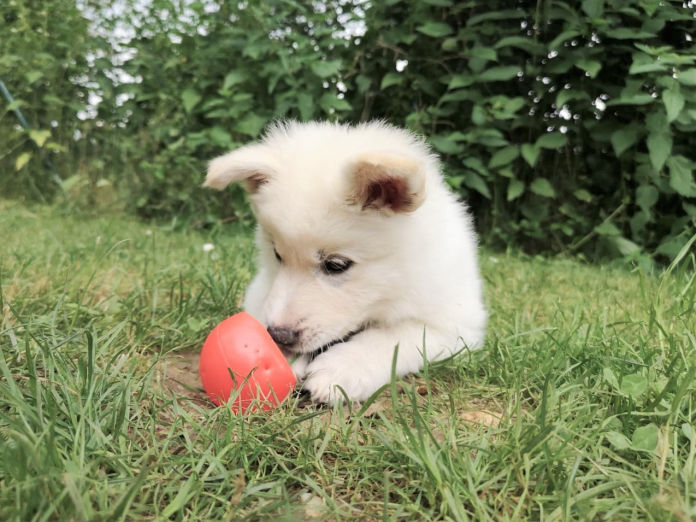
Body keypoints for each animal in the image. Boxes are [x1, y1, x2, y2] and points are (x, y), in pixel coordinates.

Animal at [204, 122, 486, 402]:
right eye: (277, 255)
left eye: (336, 265)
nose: (279, 336)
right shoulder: (261, 287)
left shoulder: (455, 322)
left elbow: (395, 337)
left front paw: (341, 369)